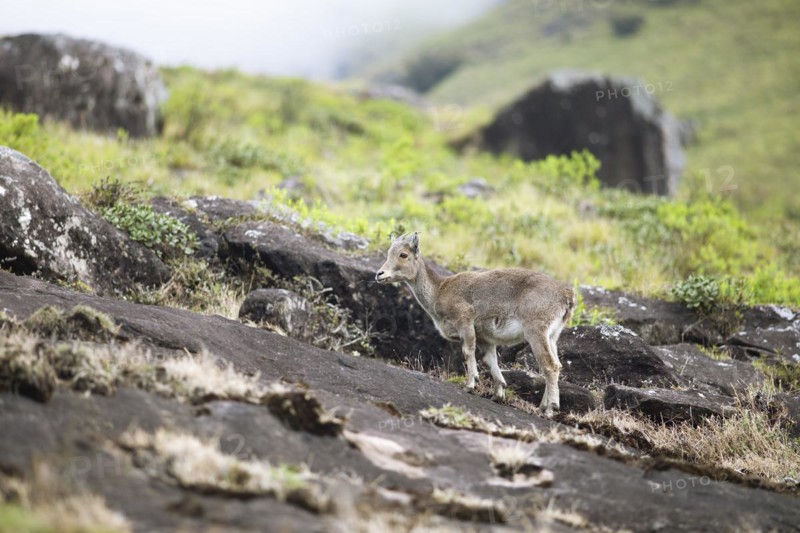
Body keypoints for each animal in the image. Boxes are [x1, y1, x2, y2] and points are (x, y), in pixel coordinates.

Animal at [376, 232, 575, 414]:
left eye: (403, 254)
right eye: (389, 253)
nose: (379, 274)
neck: (439, 291)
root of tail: (566, 296)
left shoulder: (465, 321)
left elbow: (467, 351)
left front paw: (470, 384)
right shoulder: (486, 339)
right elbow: (490, 360)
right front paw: (498, 394)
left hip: (536, 330)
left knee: (549, 365)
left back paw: (550, 408)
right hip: (552, 335)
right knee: (556, 364)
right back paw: (542, 406)